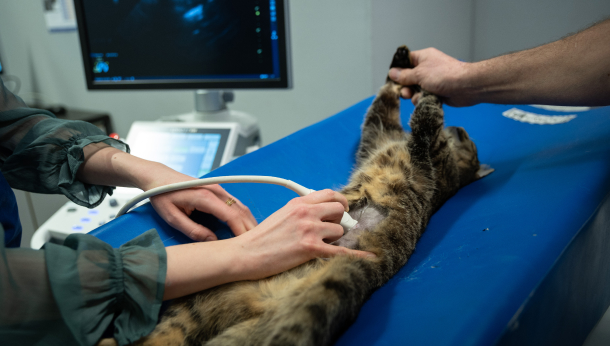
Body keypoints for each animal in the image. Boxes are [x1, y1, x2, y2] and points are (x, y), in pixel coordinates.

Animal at [98, 46, 490, 346]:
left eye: (470, 139)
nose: (461, 128)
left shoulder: (429, 161)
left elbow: (425, 123)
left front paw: (430, 91)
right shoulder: (379, 135)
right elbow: (385, 100)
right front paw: (403, 66)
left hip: (308, 304)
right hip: (186, 310)